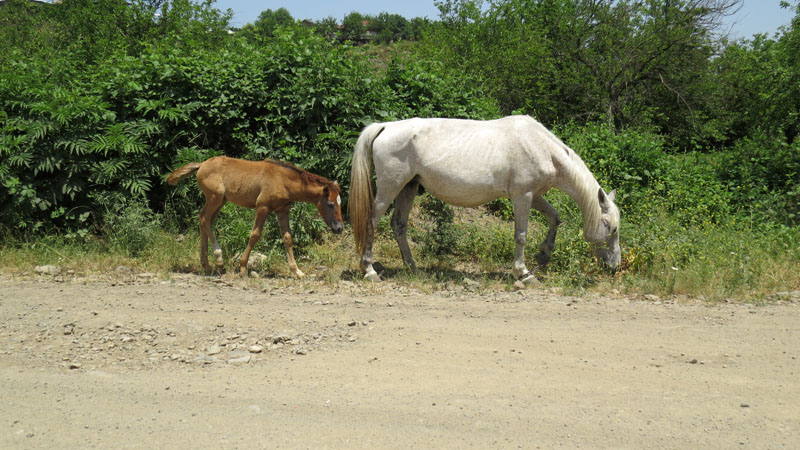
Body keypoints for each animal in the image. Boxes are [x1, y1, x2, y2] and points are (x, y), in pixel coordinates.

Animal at [348, 116, 620, 284]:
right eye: (611, 227)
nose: (615, 266)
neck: (540, 146)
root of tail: (385, 126)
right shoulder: (523, 196)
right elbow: (521, 235)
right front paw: (523, 273)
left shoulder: (534, 195)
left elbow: (555, 217)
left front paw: (543, 256)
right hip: (390, 187)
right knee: (371, 222)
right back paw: (369, 270)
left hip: (409, 186)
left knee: (399, 225)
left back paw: (412, 267)